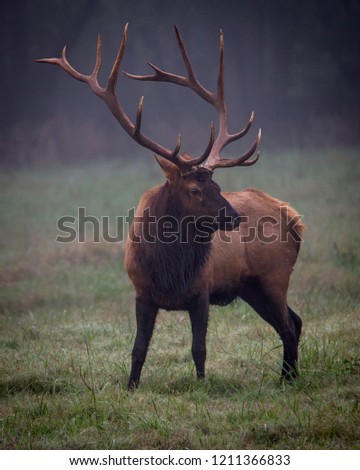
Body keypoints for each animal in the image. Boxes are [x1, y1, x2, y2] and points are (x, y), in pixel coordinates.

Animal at [38, 23, 304, 390]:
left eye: (217, 185)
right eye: (195, 188)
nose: (234, 217)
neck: (170, 272)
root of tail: (292, 217)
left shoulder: (202, 292)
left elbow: (199, 348)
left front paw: (202, 385)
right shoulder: (142, 293)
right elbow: (138, 348)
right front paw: (131, 387)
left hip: (274, 276)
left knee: (290, 326)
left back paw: (288, 380)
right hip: (253, 287)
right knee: (294, 321)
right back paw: (288, 377)